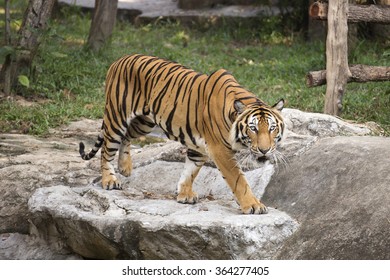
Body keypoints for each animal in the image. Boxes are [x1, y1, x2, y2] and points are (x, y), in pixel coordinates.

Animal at [79, 54, 284, 214]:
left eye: (272, 128)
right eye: (253, 128)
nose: (265, 150)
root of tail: (118, 60)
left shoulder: (199, 147)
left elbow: (190, 171)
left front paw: (184, 194)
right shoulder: (220, 150)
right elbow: (238, 180)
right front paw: (254, 205)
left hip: (144, 123)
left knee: (127, 136)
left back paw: (125, 167)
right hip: (117, 117)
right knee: (106, 149)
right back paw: (110, 180)